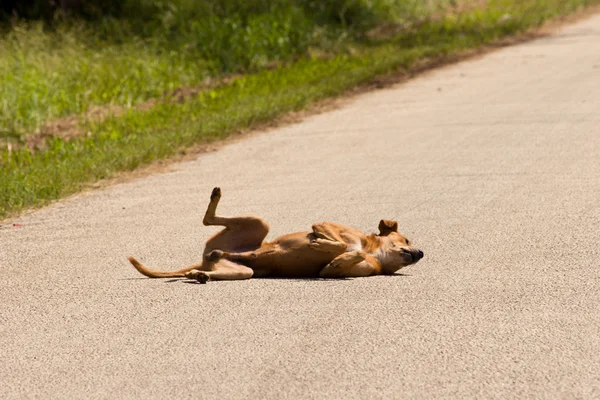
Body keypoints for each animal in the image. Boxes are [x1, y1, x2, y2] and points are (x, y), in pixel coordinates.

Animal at [129, 187, 424, 282]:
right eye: (407, 239)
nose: (421, 253)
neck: (375, 251)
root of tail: (205, 257)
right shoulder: (327, 224)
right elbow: (341, 243)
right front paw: (322, 243)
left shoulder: (330, 270)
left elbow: (344, 257)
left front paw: (336, 254)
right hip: (261, 222)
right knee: (207, 219)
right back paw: (216, 196)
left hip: (241, 271)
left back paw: (199, 274)